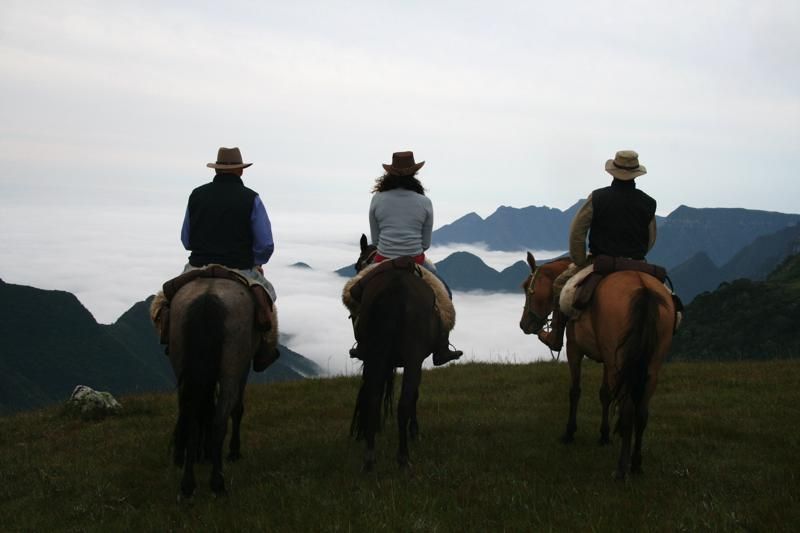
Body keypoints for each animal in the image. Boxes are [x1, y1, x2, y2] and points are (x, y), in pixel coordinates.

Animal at [168, 277, 260, 499]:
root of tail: (207, 298)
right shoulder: (243, 367)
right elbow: (237, 409)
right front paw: (233, 452)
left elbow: (204, 410)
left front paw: (200, 454)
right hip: (231, 369)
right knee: (220, 421)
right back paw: (217, 483)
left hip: (182, 364)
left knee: (192, 419)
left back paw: (187, 485)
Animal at [348, 234, 441, 471]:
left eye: (357, 264)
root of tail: (396, 286)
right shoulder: (416, 360)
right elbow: (414, 395)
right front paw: (415, 431)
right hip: (412, 358)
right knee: (404, 402)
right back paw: (403, 457)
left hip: (376, 353)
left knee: (373, 398)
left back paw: (370, 458)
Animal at [519, 252, 676, 479]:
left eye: (525, 286)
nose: (524, 324)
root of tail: (643, 288)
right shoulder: (607, 359)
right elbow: (605, 394)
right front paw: (604, 435)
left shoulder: (574, 349)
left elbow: (575, 391)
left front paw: (569, 432)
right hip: (649, 366)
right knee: (641, 412)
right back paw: (636, 464)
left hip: (621, 363)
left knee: (627, 410)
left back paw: (621, 469)